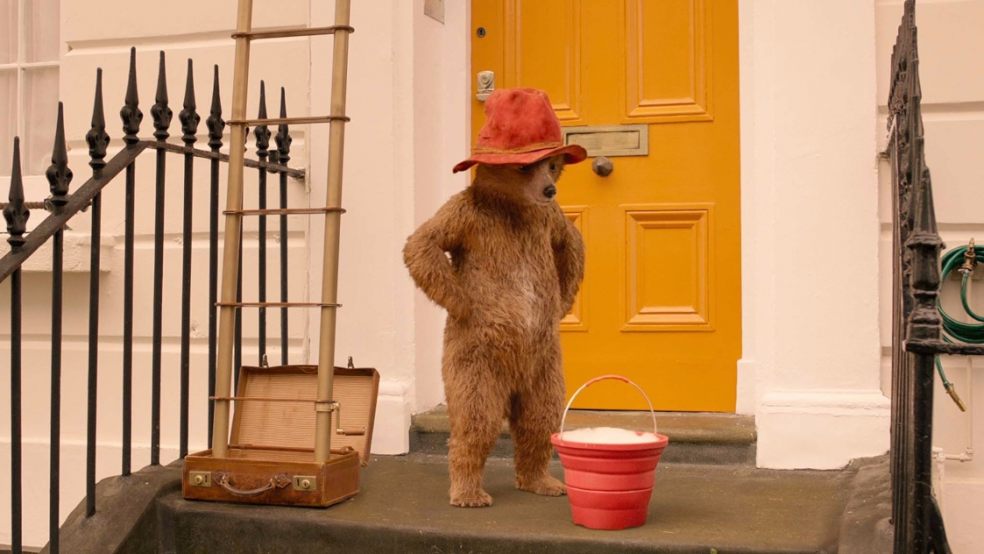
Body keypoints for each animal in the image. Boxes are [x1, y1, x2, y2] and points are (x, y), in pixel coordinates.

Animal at [404, 86, 588, 504]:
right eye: (524, 167)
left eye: (553, 164)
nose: (550, 188)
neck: (514, 209)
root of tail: (514, 379)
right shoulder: (468, 217)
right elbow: (422, 245)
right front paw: (463, 302)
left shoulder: (549, 220)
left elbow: (572, 245)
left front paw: (562, 304)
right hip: (478, 362)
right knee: (477, 420)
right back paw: (468, 492)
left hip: (545, 367)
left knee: (541, 418)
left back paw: (542, 481)